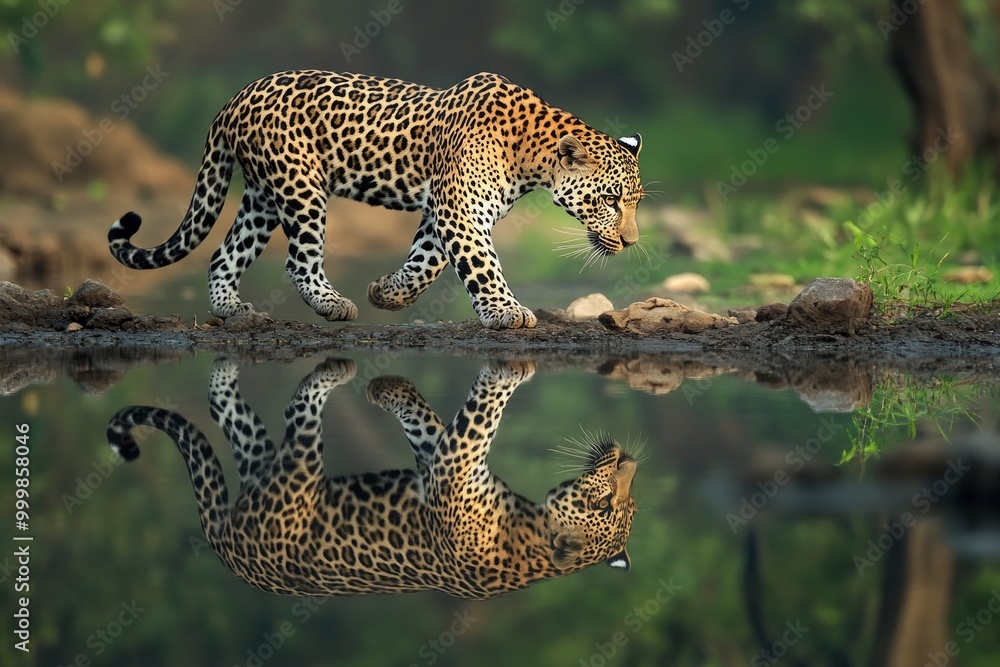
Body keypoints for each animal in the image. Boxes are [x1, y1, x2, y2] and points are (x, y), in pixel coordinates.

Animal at [106, 358, 637, 599]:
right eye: (614, 503)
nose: (628, 458)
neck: (528, 540)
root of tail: (227, 554)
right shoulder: (447, 467)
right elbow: (430, 422)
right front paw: (390, 391)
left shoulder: (453, 465)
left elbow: (478, 414)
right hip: (266, 466)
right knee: (225, 405)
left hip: (293, 475)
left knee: (294, 408)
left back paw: (335, 369)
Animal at [108, 70, 644, 329]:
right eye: (611, 200)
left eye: (635, 201)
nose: (632, 242)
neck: (531, 154)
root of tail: (237, 96)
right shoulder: (459, 210)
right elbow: (481, 266)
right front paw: (506, 311)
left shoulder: (443, 210)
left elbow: (425, 263)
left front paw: (386, 294)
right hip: (300, 188)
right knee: (298, 261)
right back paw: (332, 305)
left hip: (262, 196)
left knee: (224, 253)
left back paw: (232, 311)